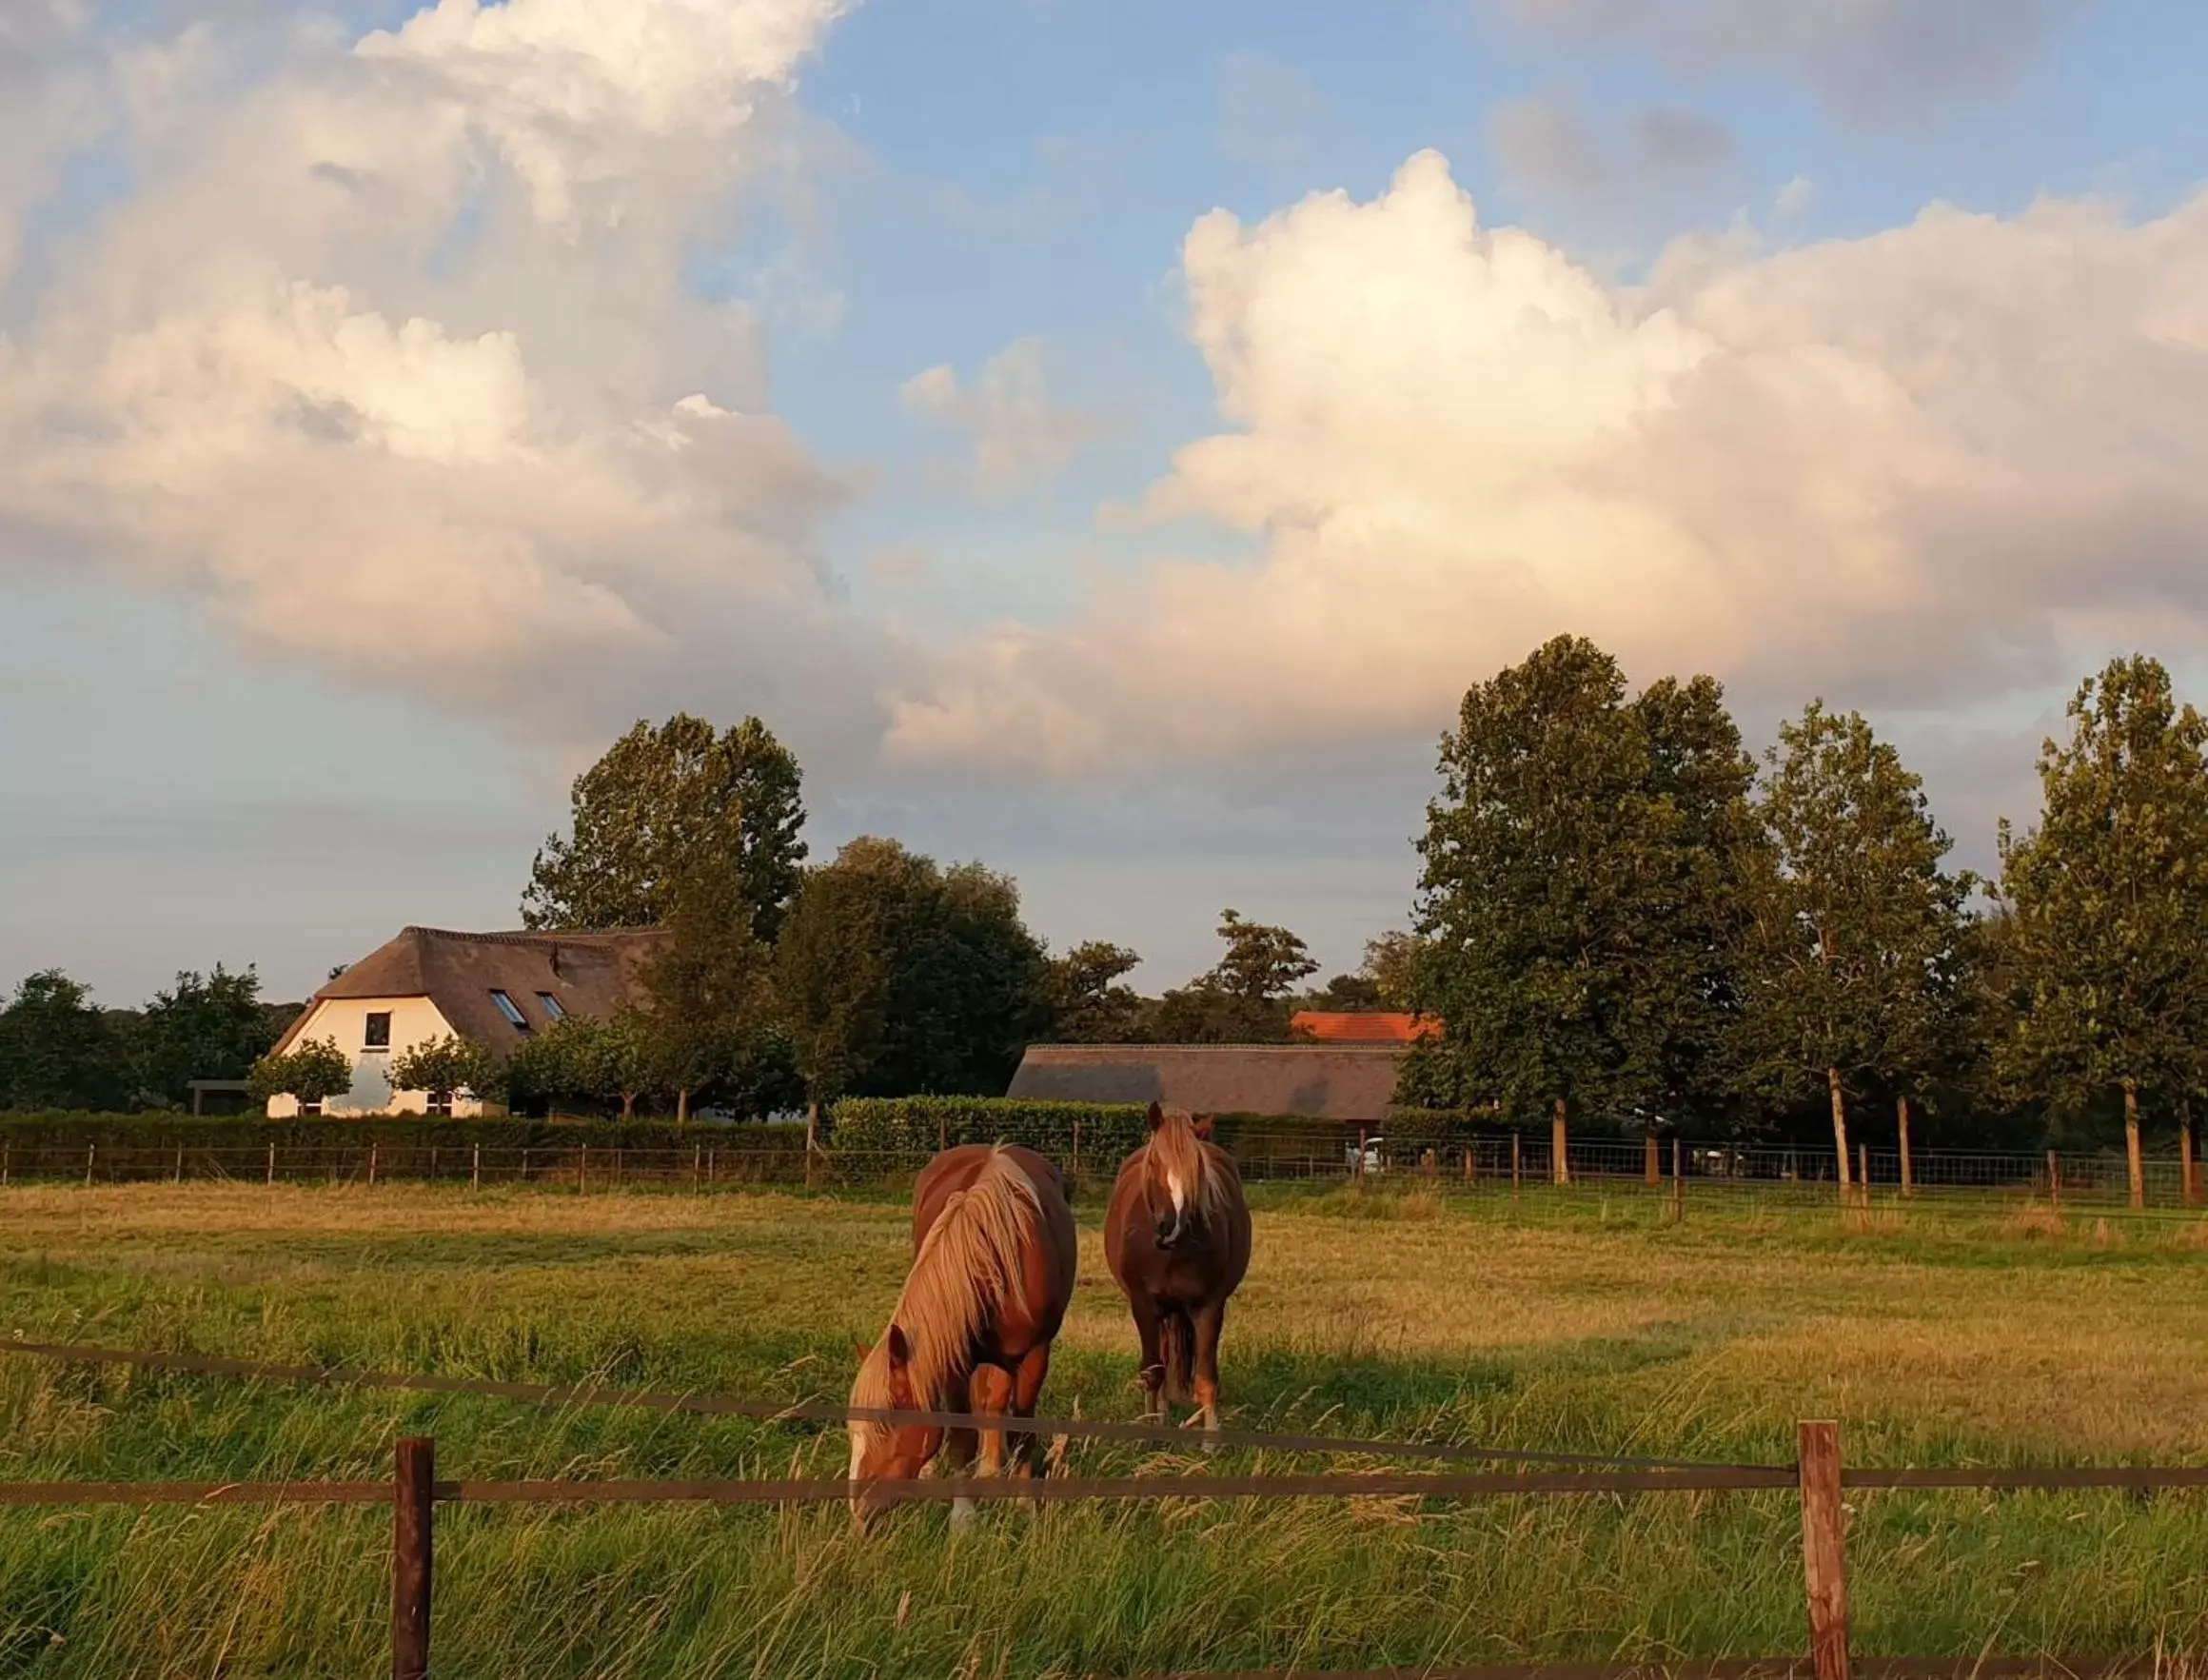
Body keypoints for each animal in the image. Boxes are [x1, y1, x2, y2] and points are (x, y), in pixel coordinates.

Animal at [843, 1138, 1077, 1518]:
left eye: (886, 1425)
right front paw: (964, 1513)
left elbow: (1020, 1427)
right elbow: (960, 1435)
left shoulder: (1034, 1354)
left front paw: (1024, 1503)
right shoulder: (954, 1356)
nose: (859, 1511)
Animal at [1099, 1099, 1245, 1430]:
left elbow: (1206, 1381)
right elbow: (1153, 1373)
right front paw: (1152, 1427)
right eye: (1155, 1163)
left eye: (1197, 1170)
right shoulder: (1142, 1303)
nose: (1171, 1227)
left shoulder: (1209, 1306)